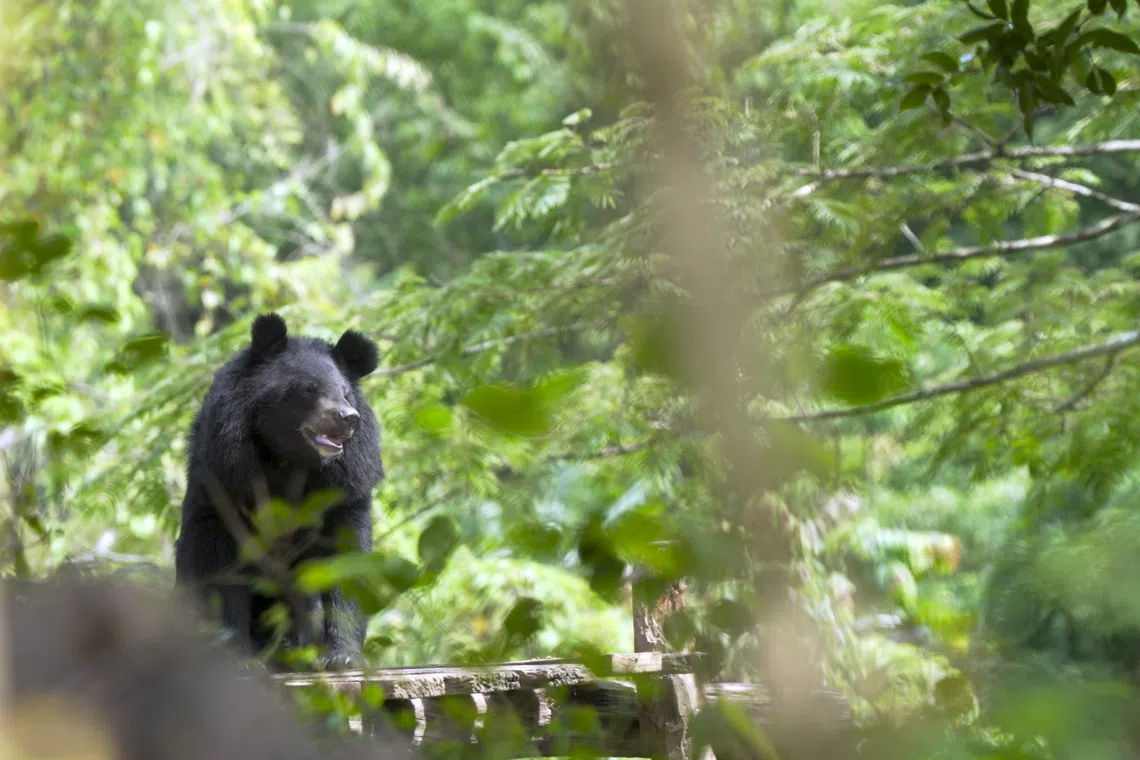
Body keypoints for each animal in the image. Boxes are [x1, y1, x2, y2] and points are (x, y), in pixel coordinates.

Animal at [174, 312, 383, 670]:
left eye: (346, 394)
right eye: (309, 388)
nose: (348, 419)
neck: (288, 459)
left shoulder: (346, 485)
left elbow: (345, 561)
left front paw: (342, 657)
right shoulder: (223, 475)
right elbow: (221, 570)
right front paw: (238, 658)